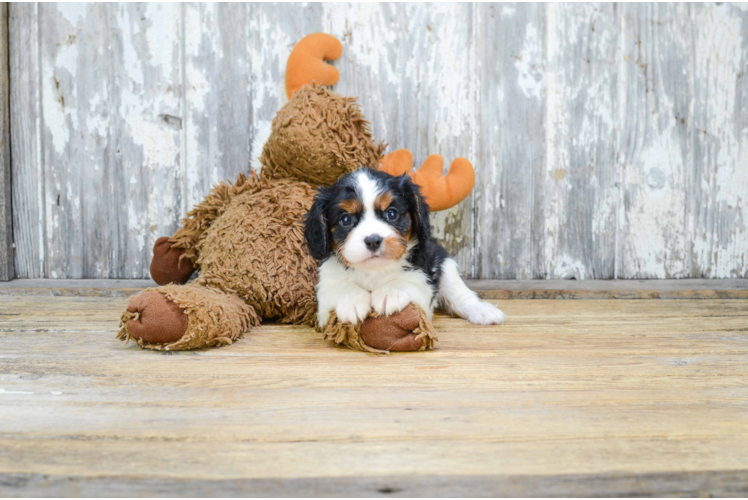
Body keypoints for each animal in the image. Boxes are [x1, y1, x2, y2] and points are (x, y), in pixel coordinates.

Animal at [304, 169, 508, 328]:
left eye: (391, 214)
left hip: (445, 263)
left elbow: (408, 282)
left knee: (460, 295)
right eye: (346, 219)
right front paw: (351, 300)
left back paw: (482, 310)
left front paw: (389, 293)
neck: (374, 270)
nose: (373, 240)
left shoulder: (426, 273)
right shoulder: (324, 288)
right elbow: (338, 286)